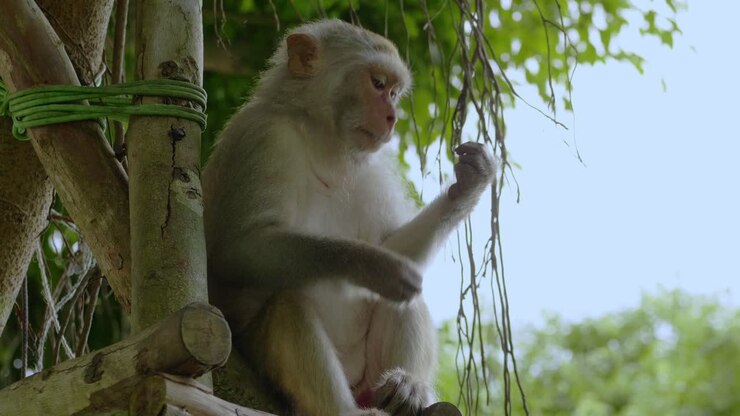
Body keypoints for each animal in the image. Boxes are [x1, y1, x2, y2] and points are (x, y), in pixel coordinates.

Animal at [202, 19, 495, 416]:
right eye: (377, 83)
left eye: (395, 92)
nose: (392, 117)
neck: (326, 142)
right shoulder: (262, 138)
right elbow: (238, 250)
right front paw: (371, 264)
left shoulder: (374, 170)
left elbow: (397, 250)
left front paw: (468, 183)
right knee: (287, 306)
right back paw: (344, 408)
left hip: (369, 376)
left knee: (404, 299)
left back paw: (407, 388)